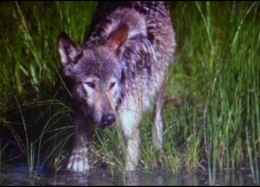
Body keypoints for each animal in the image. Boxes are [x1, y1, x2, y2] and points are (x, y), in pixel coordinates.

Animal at [58, 1, 177, 172]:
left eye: (112, 84)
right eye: (90, 84)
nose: (109, 118)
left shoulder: (131, 133)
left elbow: (129, 171)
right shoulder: (81, 115)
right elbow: (79, 146)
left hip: (160, 85)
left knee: (157, 119)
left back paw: (157, 147)